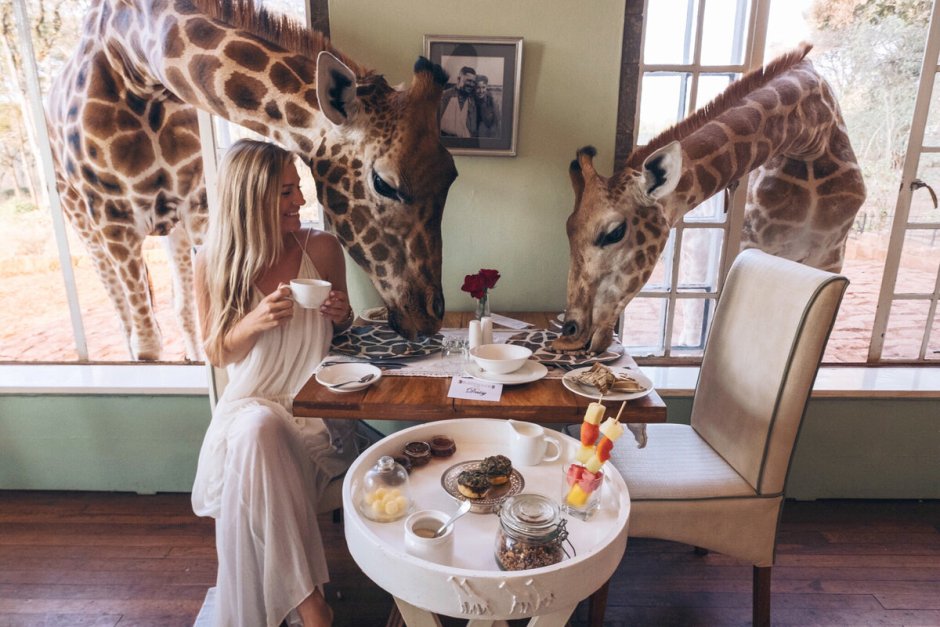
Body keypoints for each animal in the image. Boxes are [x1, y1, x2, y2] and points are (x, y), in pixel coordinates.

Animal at [45, 0, 457, 360]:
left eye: (452, 176)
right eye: (384, 184)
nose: (428, 317)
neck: (136, 56)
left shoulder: (198, 206)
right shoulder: (113, 219)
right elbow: (149, 345)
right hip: (87, 225)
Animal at [555, 43, 865, 353]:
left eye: (614, 232)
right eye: (568, 229)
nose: (571, 332)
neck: (811, 135)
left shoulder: (830, 257)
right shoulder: (751, 242)